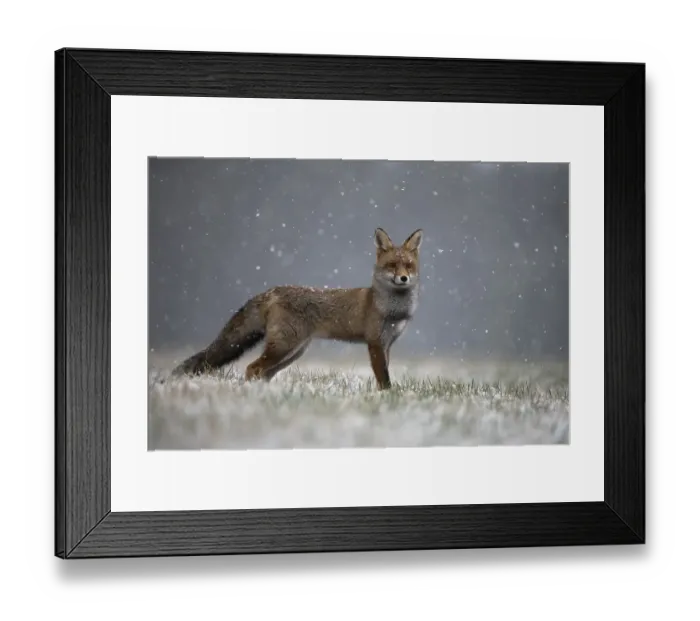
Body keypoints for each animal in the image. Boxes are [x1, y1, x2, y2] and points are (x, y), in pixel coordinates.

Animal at [171, 227, 423, 390]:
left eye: (408, 265)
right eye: (392, 265)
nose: (403, 278)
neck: (392, 308)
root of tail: (272, 290)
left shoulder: (387, 344)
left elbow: (385, 374)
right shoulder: (375, 343)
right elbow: (384, 379)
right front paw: (388, 398)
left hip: (294, 352)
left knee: (263, 373)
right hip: (284, 347)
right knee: (252, 368)